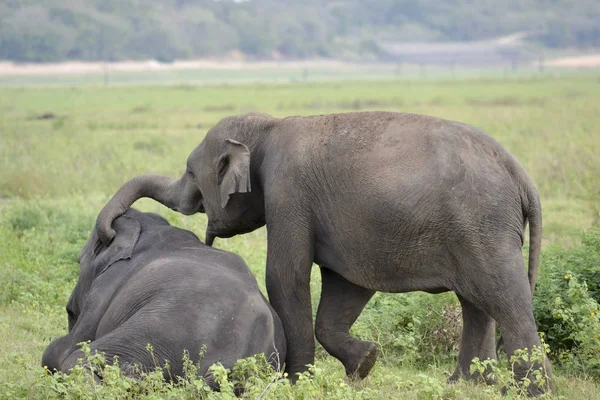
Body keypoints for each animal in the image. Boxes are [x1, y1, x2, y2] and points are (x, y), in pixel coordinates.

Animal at [42, 208, 286, 390]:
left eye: (79, 259)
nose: (70, 309)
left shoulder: (104, 289)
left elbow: (62, 347)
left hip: (161, 333)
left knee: (76, 361)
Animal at [97, 111, 552, 396]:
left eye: (192, 173)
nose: (108, 232)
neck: (268, 127)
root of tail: (522, 175)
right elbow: (344, 288)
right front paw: (365, 365)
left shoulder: (287, 191)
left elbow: (286, 276)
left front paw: (295, 383)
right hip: (475, 230)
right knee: (476, 302)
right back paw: (464, 385)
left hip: (484, 226)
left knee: (504, 299)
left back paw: (531, 391)